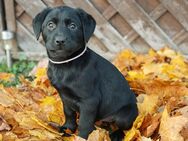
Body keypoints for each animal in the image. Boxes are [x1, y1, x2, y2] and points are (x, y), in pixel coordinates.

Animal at [32, 6, 138, 140]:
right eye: (50, 25)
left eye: (73, 26)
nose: (60, 41)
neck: (65, 64)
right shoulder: (64, 96)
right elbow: (69, 113)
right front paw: (68, 128)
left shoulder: (89, 101)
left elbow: (84, 123)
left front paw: (81, 137)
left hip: (124, 115)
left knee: (124, 127)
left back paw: (116, 135)